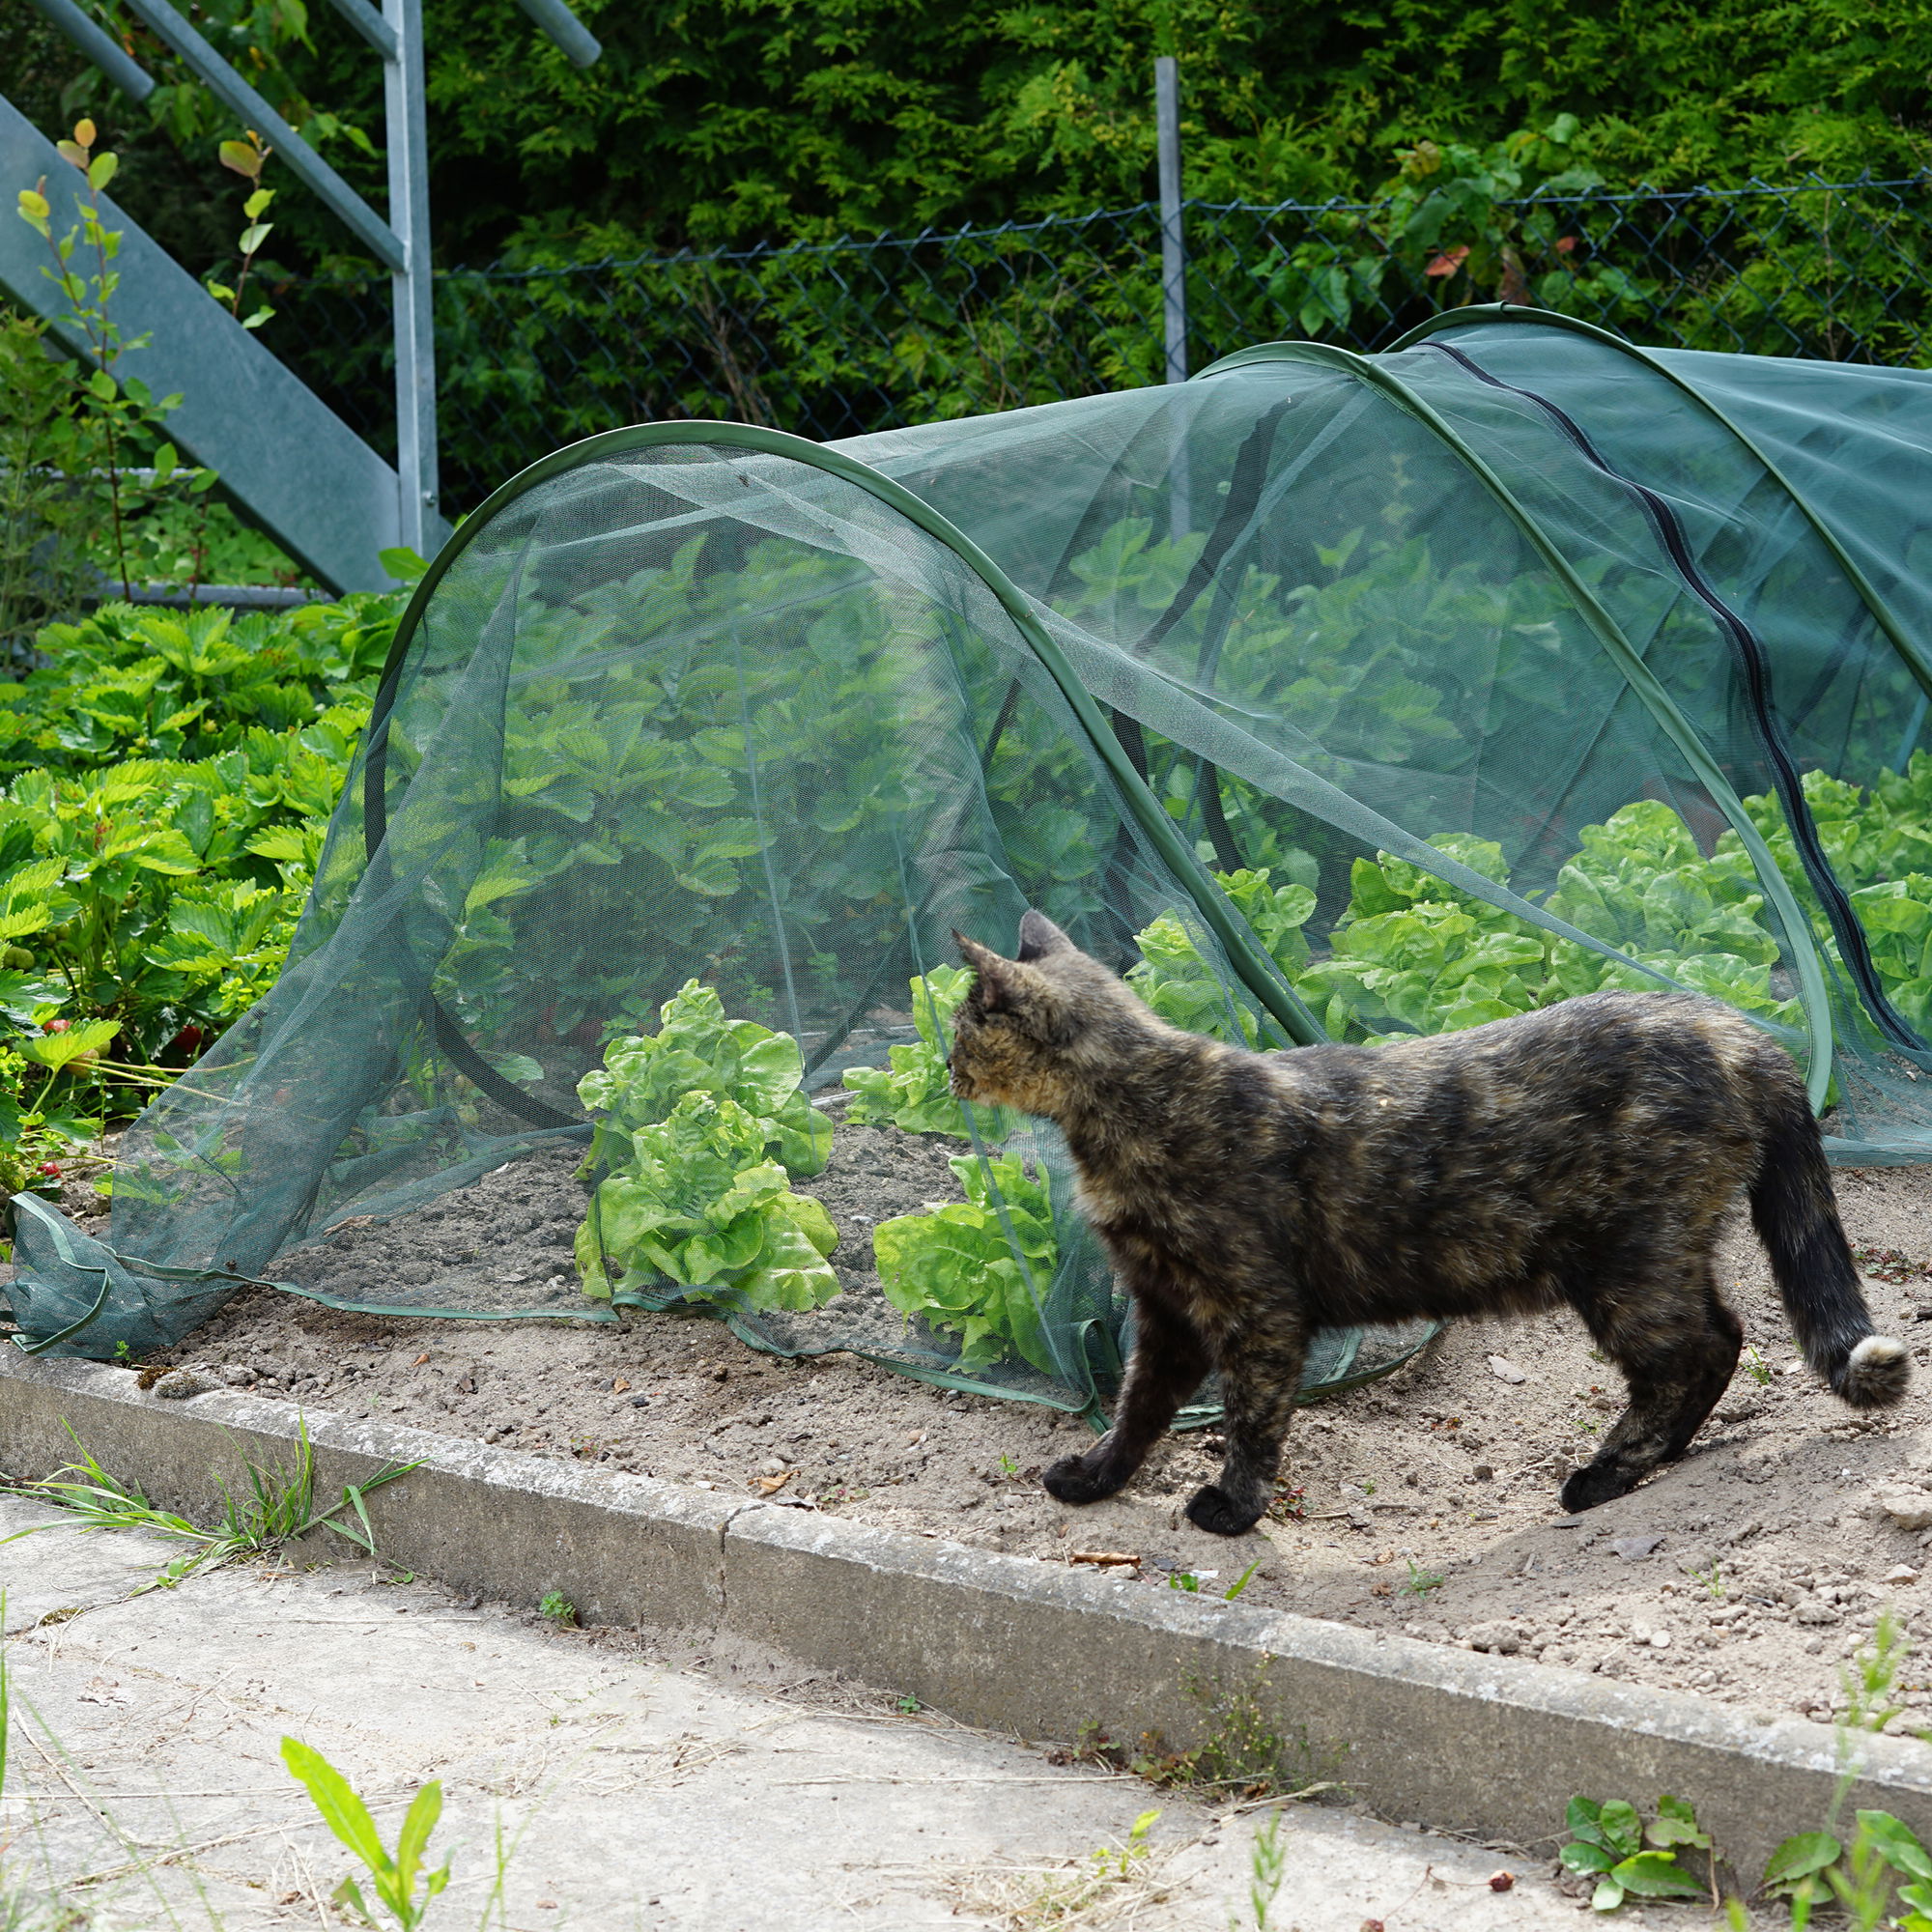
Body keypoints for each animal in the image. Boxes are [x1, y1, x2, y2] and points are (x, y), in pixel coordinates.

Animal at [943, 912, 1909, 1530]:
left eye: (959, 1030)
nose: (947, 1073)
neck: (1132, 1106)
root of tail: (1736, 1031)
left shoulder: (1257, 1311)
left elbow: (1252, 1417)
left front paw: (1234, 1510)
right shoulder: (1166, 1308)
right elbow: (1137, 1407)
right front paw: (1096, 1479)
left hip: (1627, 1267)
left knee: (1699, 1349)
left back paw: (1601, 1478)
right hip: (1659, 1255)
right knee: (1722, 1337)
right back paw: (1648, 1462)